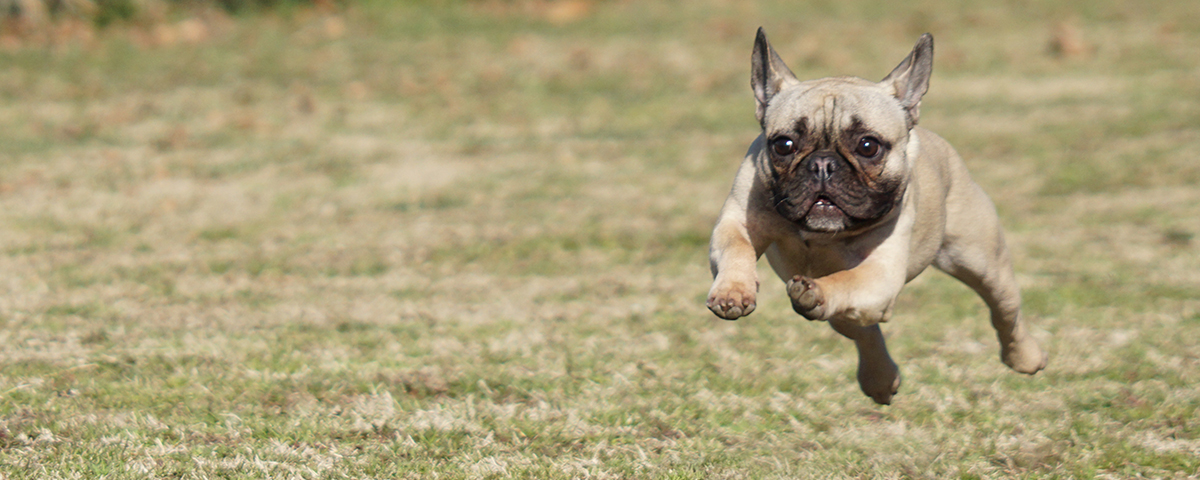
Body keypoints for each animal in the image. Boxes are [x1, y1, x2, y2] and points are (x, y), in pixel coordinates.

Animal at [705, 29, 1046, 405]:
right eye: (783, 145)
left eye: (868, 146)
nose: (822, 164)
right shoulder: (739, 220)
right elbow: (737, 248)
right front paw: (733, 292)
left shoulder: (880, 273)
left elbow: (846, 280)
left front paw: (818, 289)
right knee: (862, 329)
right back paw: (881, 379)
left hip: (983, 263)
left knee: (1005, 311)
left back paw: (1025, 358)